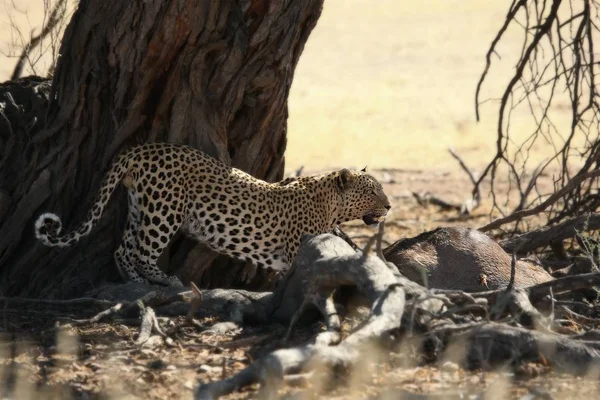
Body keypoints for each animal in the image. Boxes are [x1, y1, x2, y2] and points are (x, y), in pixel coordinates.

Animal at [35, 142, 392, 286]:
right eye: (373, 190)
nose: (389, 206)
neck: (330, 206)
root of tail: (141, 148)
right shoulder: (295, 253)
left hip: (139, 206)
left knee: (122, 250)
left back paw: (136, 283)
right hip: (165, 210)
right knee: (141, 252)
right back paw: (167, 280)